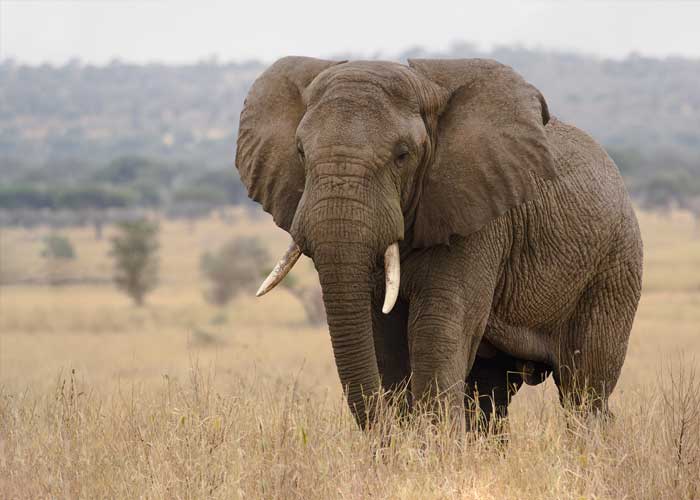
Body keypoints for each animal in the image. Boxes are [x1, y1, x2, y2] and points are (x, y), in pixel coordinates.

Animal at [237, 56, 644, 432]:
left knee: (584, 389)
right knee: (490, 396)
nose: (384, 439)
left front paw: (431, 445)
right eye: (300, 152)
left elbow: (437, 327)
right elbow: (383, 335)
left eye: (402, 155)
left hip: (615, 266)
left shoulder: (478, 215)